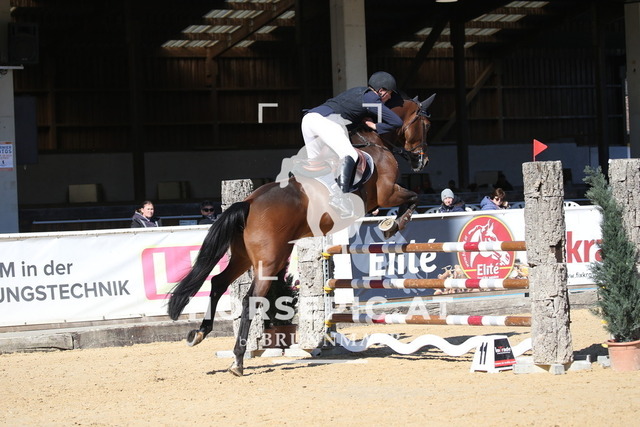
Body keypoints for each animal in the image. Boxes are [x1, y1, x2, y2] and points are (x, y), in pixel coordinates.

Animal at [167, 93, 435, 376]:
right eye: (426, 125)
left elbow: (413, 199)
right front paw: (393, 224)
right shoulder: (387, 193)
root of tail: (248, 203)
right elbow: (413, 198)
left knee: (218, 283)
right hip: (270, 261)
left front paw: (392, 224)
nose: (422, 161)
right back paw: (238, 360)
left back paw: (199, 333)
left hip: (243, 256)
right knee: (250, 299)